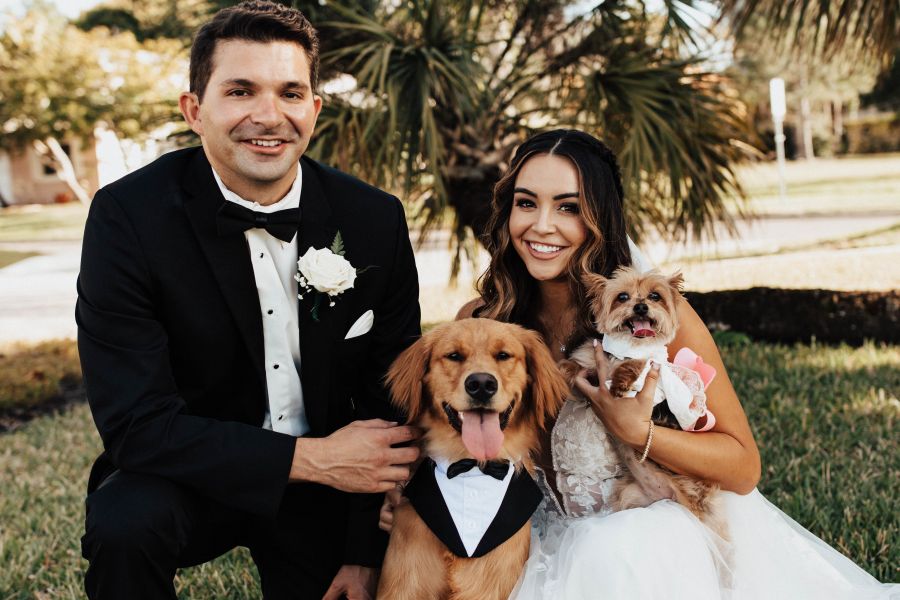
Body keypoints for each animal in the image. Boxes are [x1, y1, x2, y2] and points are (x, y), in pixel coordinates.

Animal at [568, 268, 728, 540]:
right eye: (622, 296)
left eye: (655, 296)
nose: (641, 306)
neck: (628, 347)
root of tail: (665, 494)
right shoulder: (589, 364)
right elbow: (575, 364)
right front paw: (561, 371)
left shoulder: (651, 368)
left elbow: (634, 365)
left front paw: (620, 382)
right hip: (630, 496)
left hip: (695, 498)